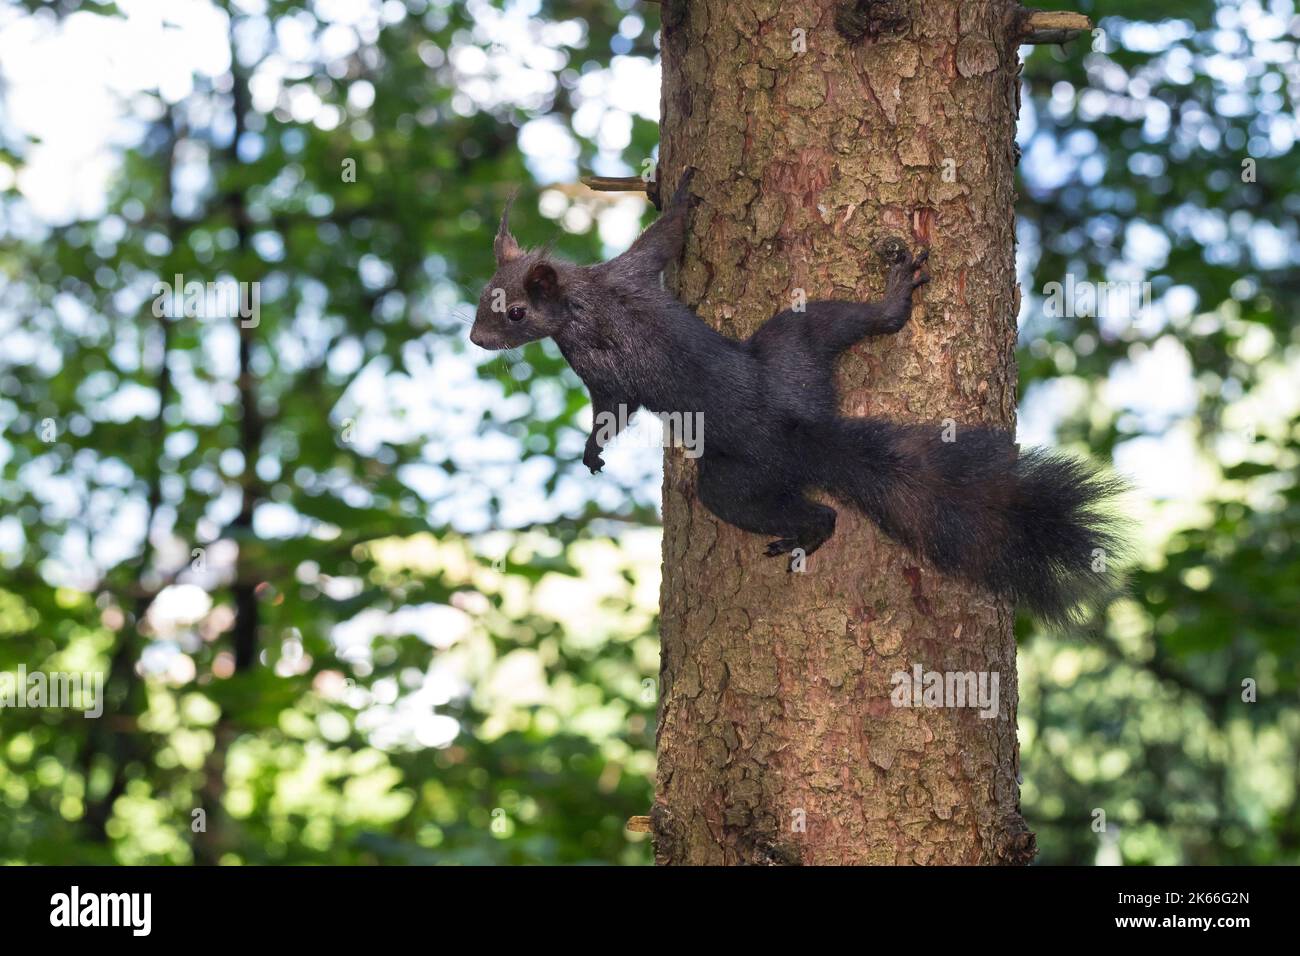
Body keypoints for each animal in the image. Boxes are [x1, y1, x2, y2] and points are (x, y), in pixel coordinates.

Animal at [470, 167, 1128, 624]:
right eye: (482, 296)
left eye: (516, 310)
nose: (477, 338)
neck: (582, 304)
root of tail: (801, 430)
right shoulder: (611, 326)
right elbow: (616, 398)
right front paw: (592, 450)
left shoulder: (616, 296)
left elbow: (662, 244)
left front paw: (682, 194)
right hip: (797, 349)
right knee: (840, 331)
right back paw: (891, 307)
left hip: (745, 465)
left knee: (806, 508)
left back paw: (809, 529)